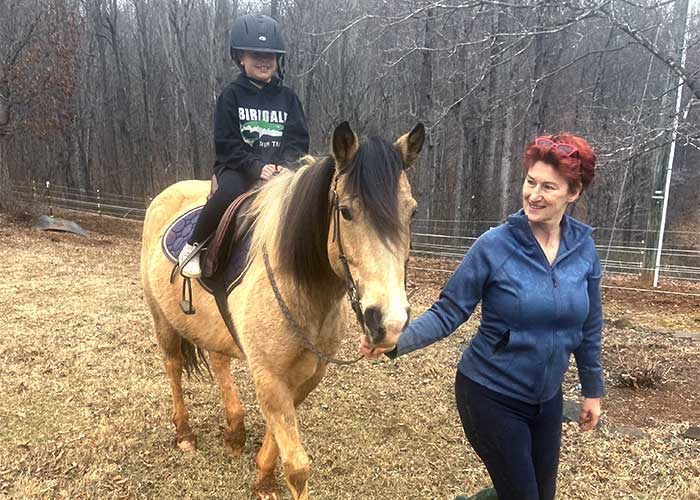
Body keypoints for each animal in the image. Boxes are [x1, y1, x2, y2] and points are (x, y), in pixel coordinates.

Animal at [140, 121, 425, 499]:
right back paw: (184, 434)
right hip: (162, 319)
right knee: (173, 366)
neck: (302, 290)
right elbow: (297, 466)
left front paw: (263, 478)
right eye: (346, 211)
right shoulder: (270, 377)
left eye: (412, 211)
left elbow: (277, 441)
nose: (389, 322)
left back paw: (235, 430)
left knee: (218, 359)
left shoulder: (307, 376)